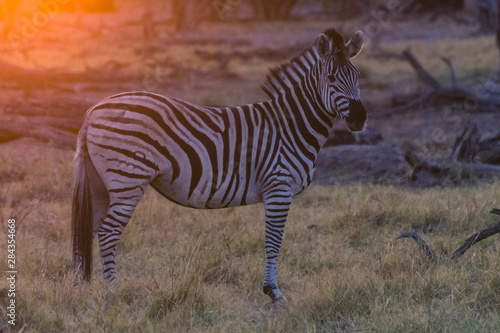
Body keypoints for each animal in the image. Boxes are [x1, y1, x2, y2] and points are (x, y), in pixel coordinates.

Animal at [71, 28, 368, 302]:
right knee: (108, 233)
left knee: (91, 230)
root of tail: (94, 109)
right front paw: (273, 292)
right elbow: (274, 242)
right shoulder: (279, 188)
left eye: (357, 77)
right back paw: (114, 291)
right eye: (331, 78)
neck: (290, 126)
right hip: (127, 178)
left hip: (101, 183)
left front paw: (271, 290)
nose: (359, 118)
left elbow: (273, 242)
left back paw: (85, 288)